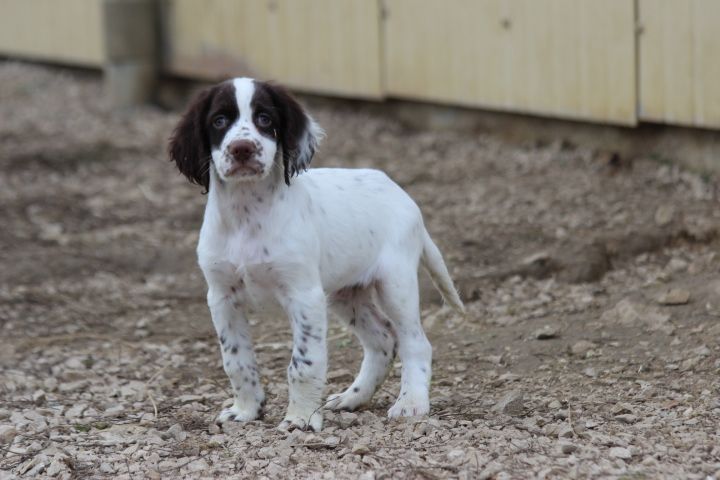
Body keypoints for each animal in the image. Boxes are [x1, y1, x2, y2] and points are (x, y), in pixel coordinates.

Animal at [169, 79, 464, 432]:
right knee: (381, 340)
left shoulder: (303, 295)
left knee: (415, 342)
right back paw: (353, 397)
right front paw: (246, 410)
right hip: (346, 293)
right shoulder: (222, 296)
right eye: (219, 121)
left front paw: (300, 419)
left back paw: (411, 403)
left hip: (396, 284)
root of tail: (400, 192)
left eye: (265, 119)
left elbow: (303, 363)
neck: (246, 214)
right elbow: (236, 360)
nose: (242, 149)